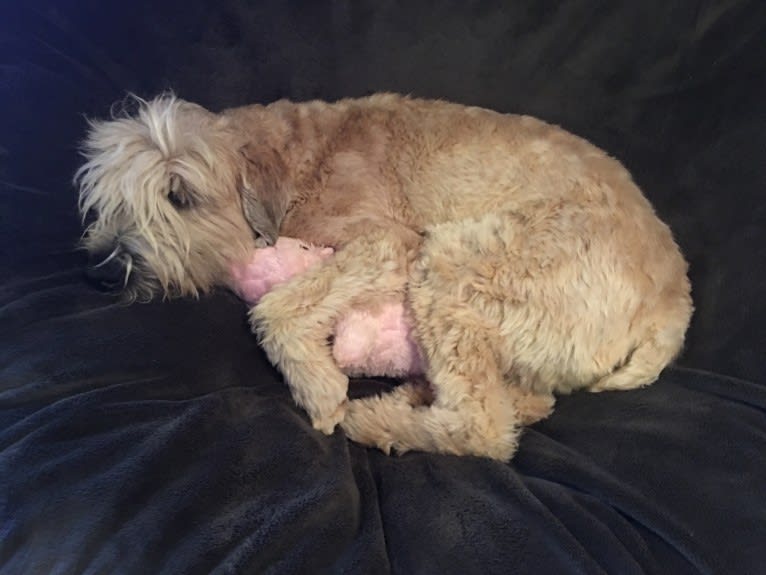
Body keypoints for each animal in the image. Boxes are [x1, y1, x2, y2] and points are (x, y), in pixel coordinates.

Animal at [78, 92, 696, 462]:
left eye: (178, 196)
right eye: (105, 197)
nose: (103, 272)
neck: (297, 161)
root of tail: (674, 305)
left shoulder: (388, 243)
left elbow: (274, 307)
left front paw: (321, 391)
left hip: (455, 265)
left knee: (484, 429)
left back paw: (372, 419)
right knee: (521, 403)